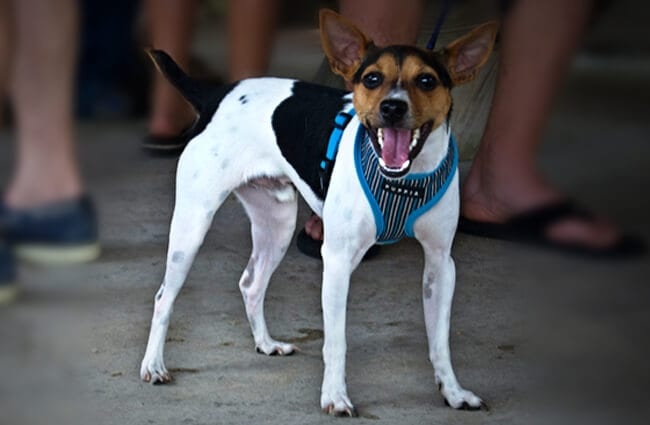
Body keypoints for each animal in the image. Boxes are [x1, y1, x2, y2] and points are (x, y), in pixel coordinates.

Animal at [140, 8, 496, 416]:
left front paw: (453, 391)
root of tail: (217, 94)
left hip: (276, 226)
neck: (404, 179)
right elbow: (336, 342)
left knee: (251, 284)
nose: (393, 107)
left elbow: (440, 342)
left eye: (427, 80)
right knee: (164, 298)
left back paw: (266, 343)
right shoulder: (337, 260)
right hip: (192, 226)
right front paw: (335, 396)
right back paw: (153, 365)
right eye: (372, 79)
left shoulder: (440, 263)